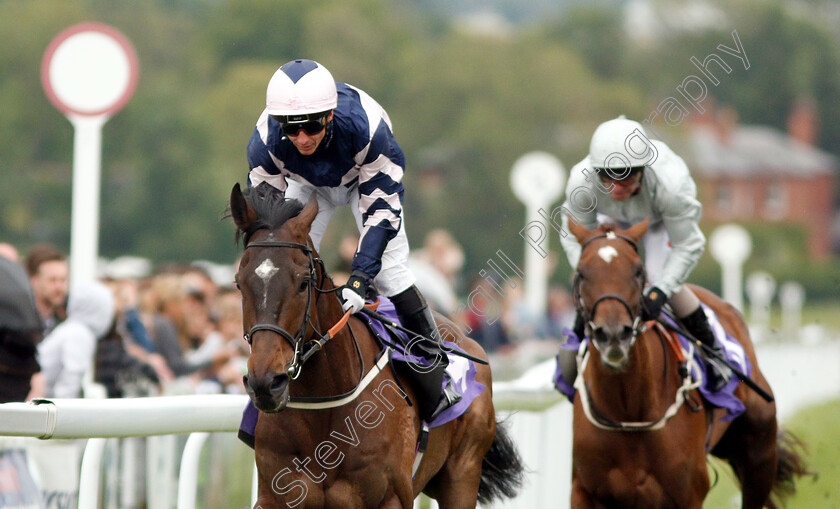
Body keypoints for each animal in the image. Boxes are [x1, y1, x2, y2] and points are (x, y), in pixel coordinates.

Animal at [226, 184, 520, 508]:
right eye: (239, 283)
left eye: (303, 282)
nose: (266, 383)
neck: (324, 407)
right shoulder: (276, 495)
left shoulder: (390, 498)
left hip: (462, 473)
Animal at [564, 218, 808, 508]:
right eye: (580, 273)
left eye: (638, 271)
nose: (612, 333)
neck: (629, 413)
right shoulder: (584, 491)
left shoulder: (687, 494)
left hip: (759, 454)